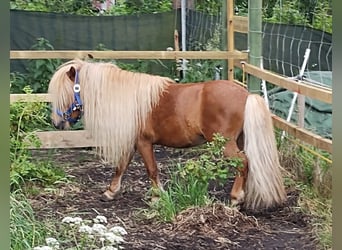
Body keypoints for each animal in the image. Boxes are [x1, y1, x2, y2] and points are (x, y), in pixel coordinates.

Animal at [48, 58, 288, 209]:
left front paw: (158, 197)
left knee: (243, 162)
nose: (57, 123)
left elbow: (152, 170)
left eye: (65, 93)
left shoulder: (143, 143)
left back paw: (236, 198)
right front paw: (110, 191)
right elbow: (121, 166)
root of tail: (246, 95)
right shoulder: (132, 142)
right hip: (240, 140)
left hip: (225, 144)